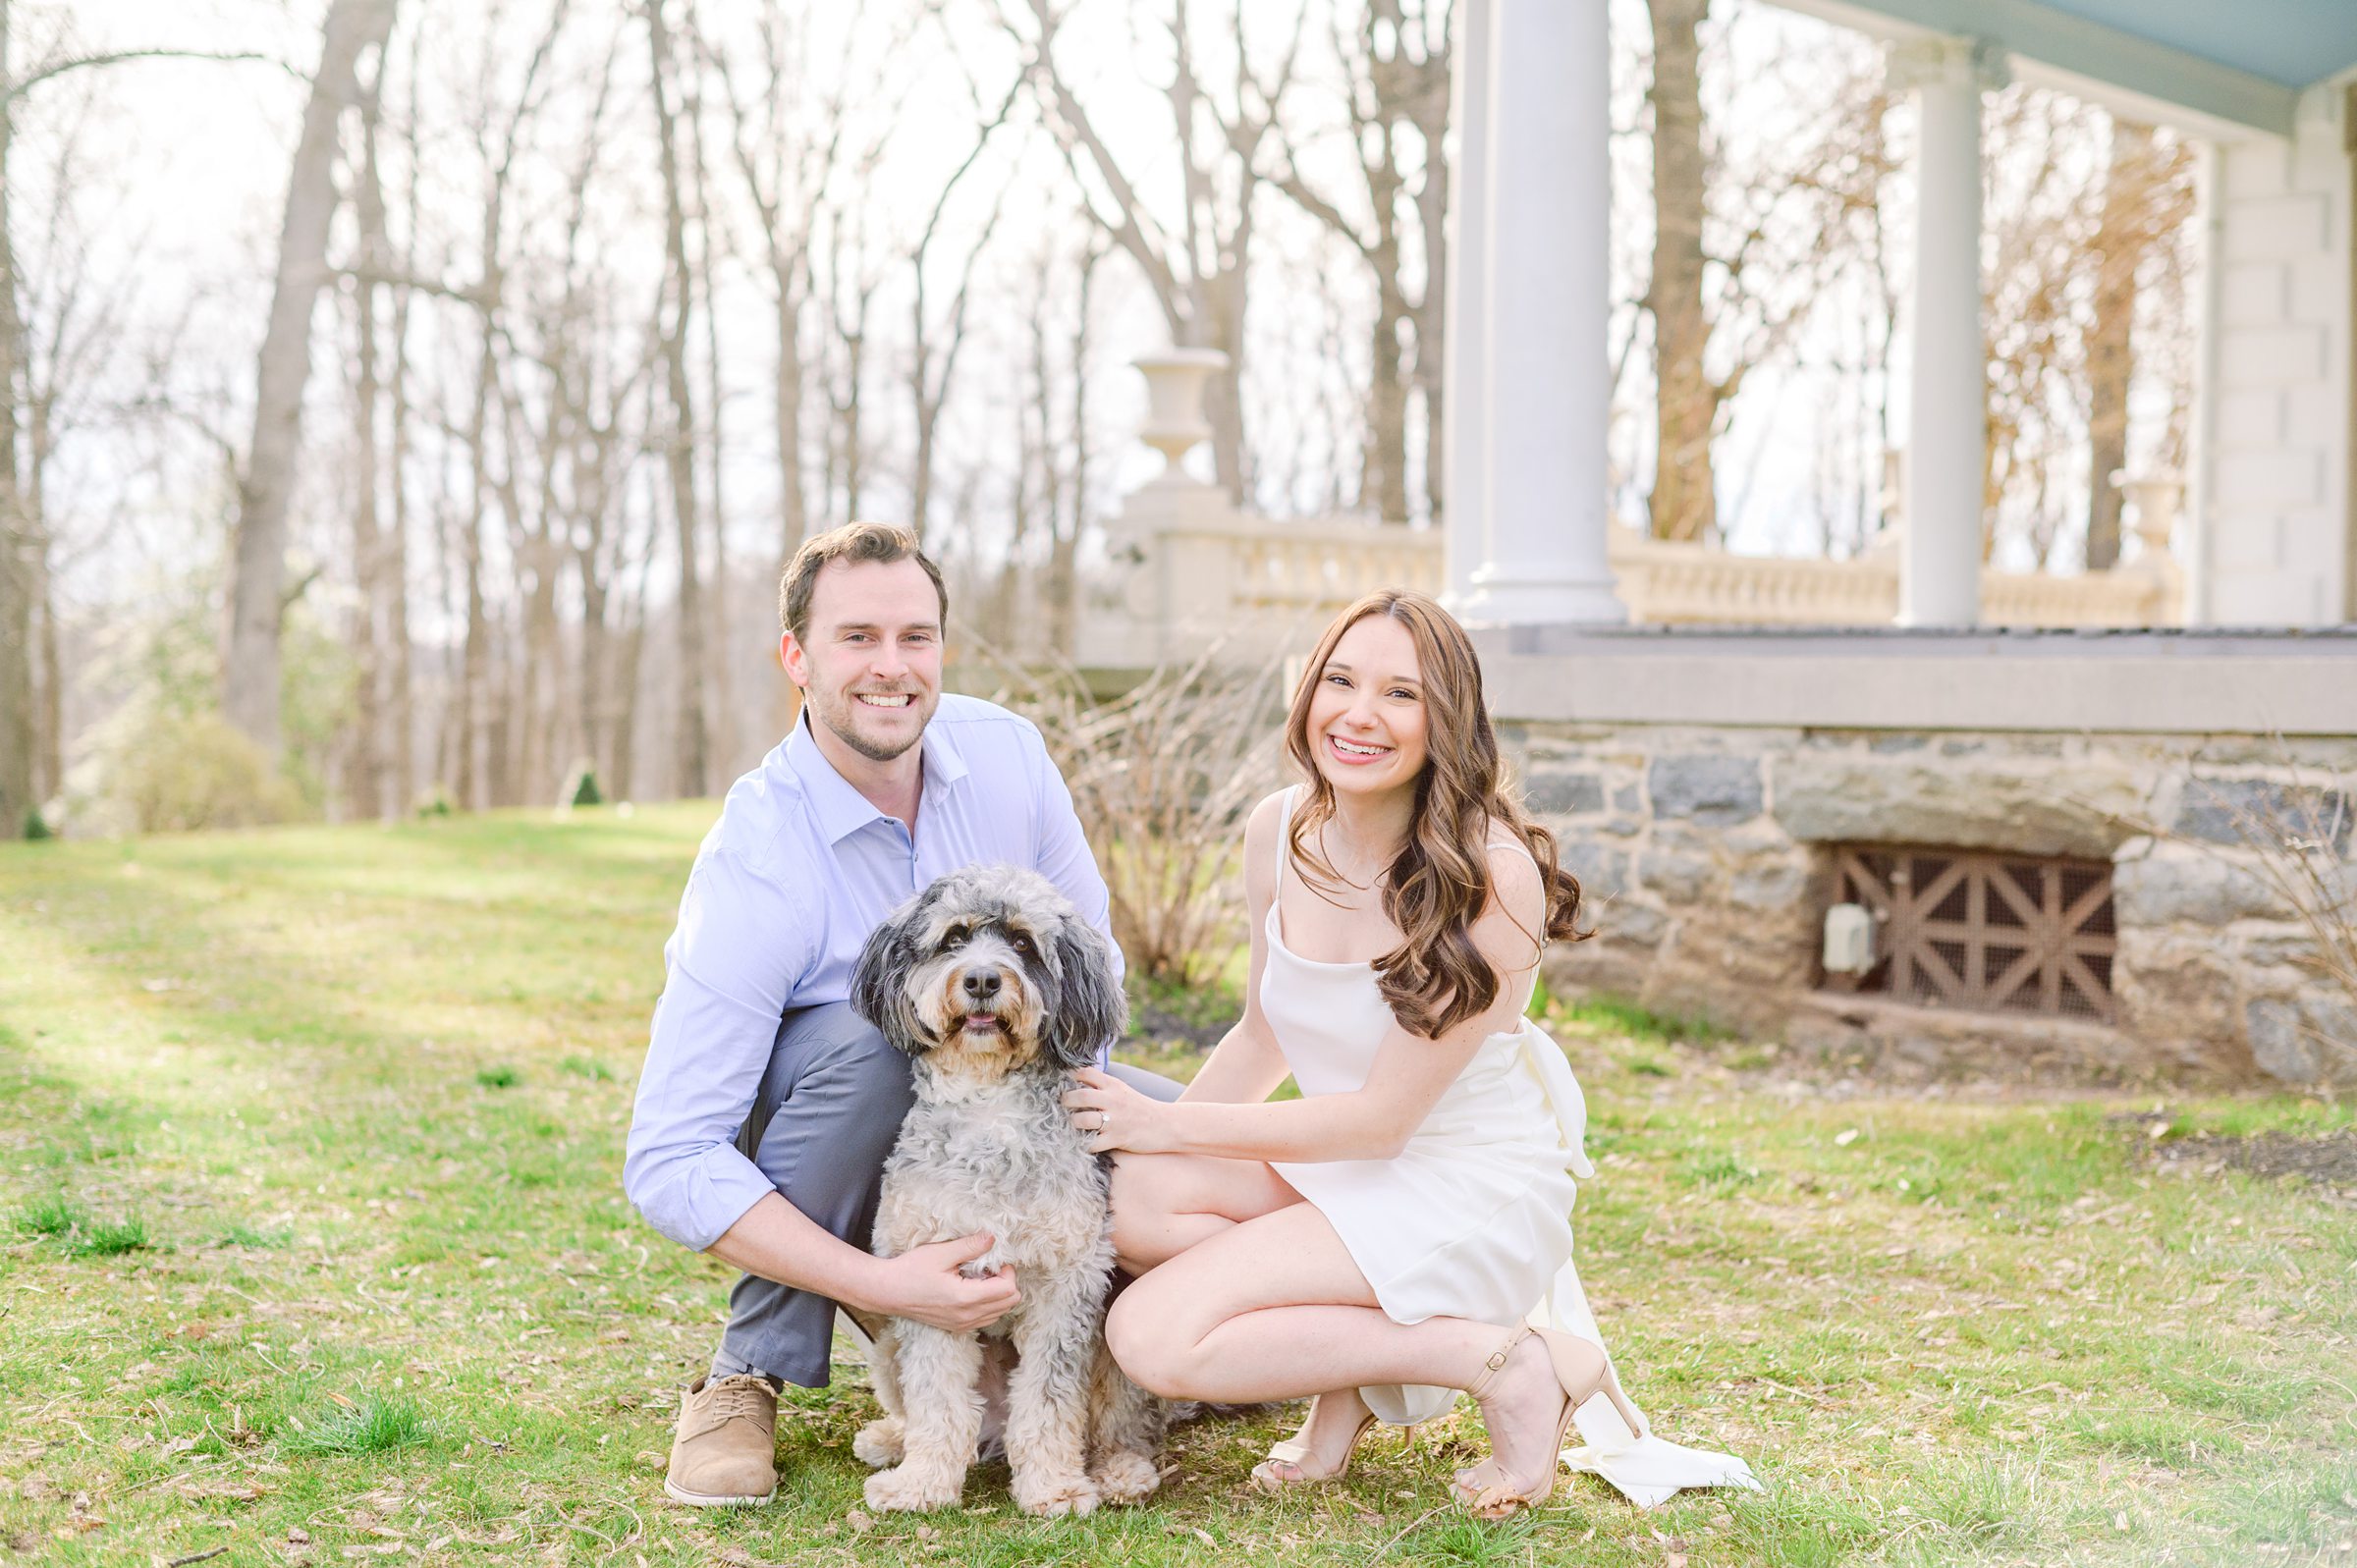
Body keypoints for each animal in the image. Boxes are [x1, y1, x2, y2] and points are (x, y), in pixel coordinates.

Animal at [857, 862, 1169, 1508]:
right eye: (954, 938)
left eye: (1023, 943)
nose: (981, 978)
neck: (989, 1108)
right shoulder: (931, 1289)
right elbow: (937, 1398)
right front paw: (922, 1484)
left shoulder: (1067, 1284)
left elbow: (1050, 1399)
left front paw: (1054, 1487)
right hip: (888, 1341)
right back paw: (892, 1440)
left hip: (1116, 1342)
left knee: (1117, 1422)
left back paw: (1118, 1470)